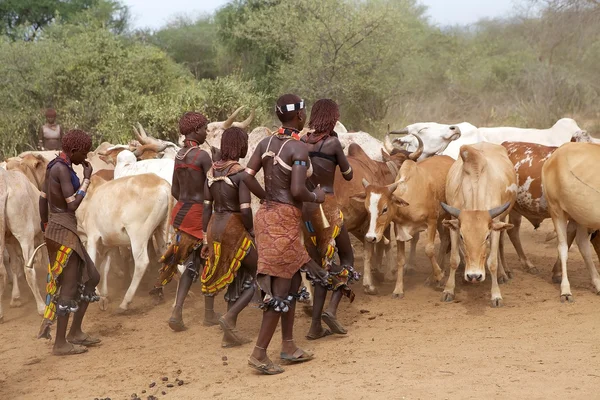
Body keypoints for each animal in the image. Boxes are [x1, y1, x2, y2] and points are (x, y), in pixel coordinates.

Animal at [352, 148, 454, 298]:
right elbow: (400, 259)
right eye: (367, 208)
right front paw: (398, 289)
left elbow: (429, 250)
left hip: (446, 216)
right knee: (445, 239)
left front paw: (439, 276)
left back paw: (435, 275)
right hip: (441, 219)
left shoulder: (431, 221)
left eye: (385, 209)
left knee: (446, 240)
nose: (371, 237)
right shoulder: (399, 229)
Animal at [438, 141, 516, 306]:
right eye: (462, 237)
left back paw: (502, 274)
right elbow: (454, 259)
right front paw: (449, 290)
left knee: (499, 247)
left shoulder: (495, 225)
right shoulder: (454, 224)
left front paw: (496, 295)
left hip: (503, 219)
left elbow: (492, 262)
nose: (474, 276)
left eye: (486, 237)